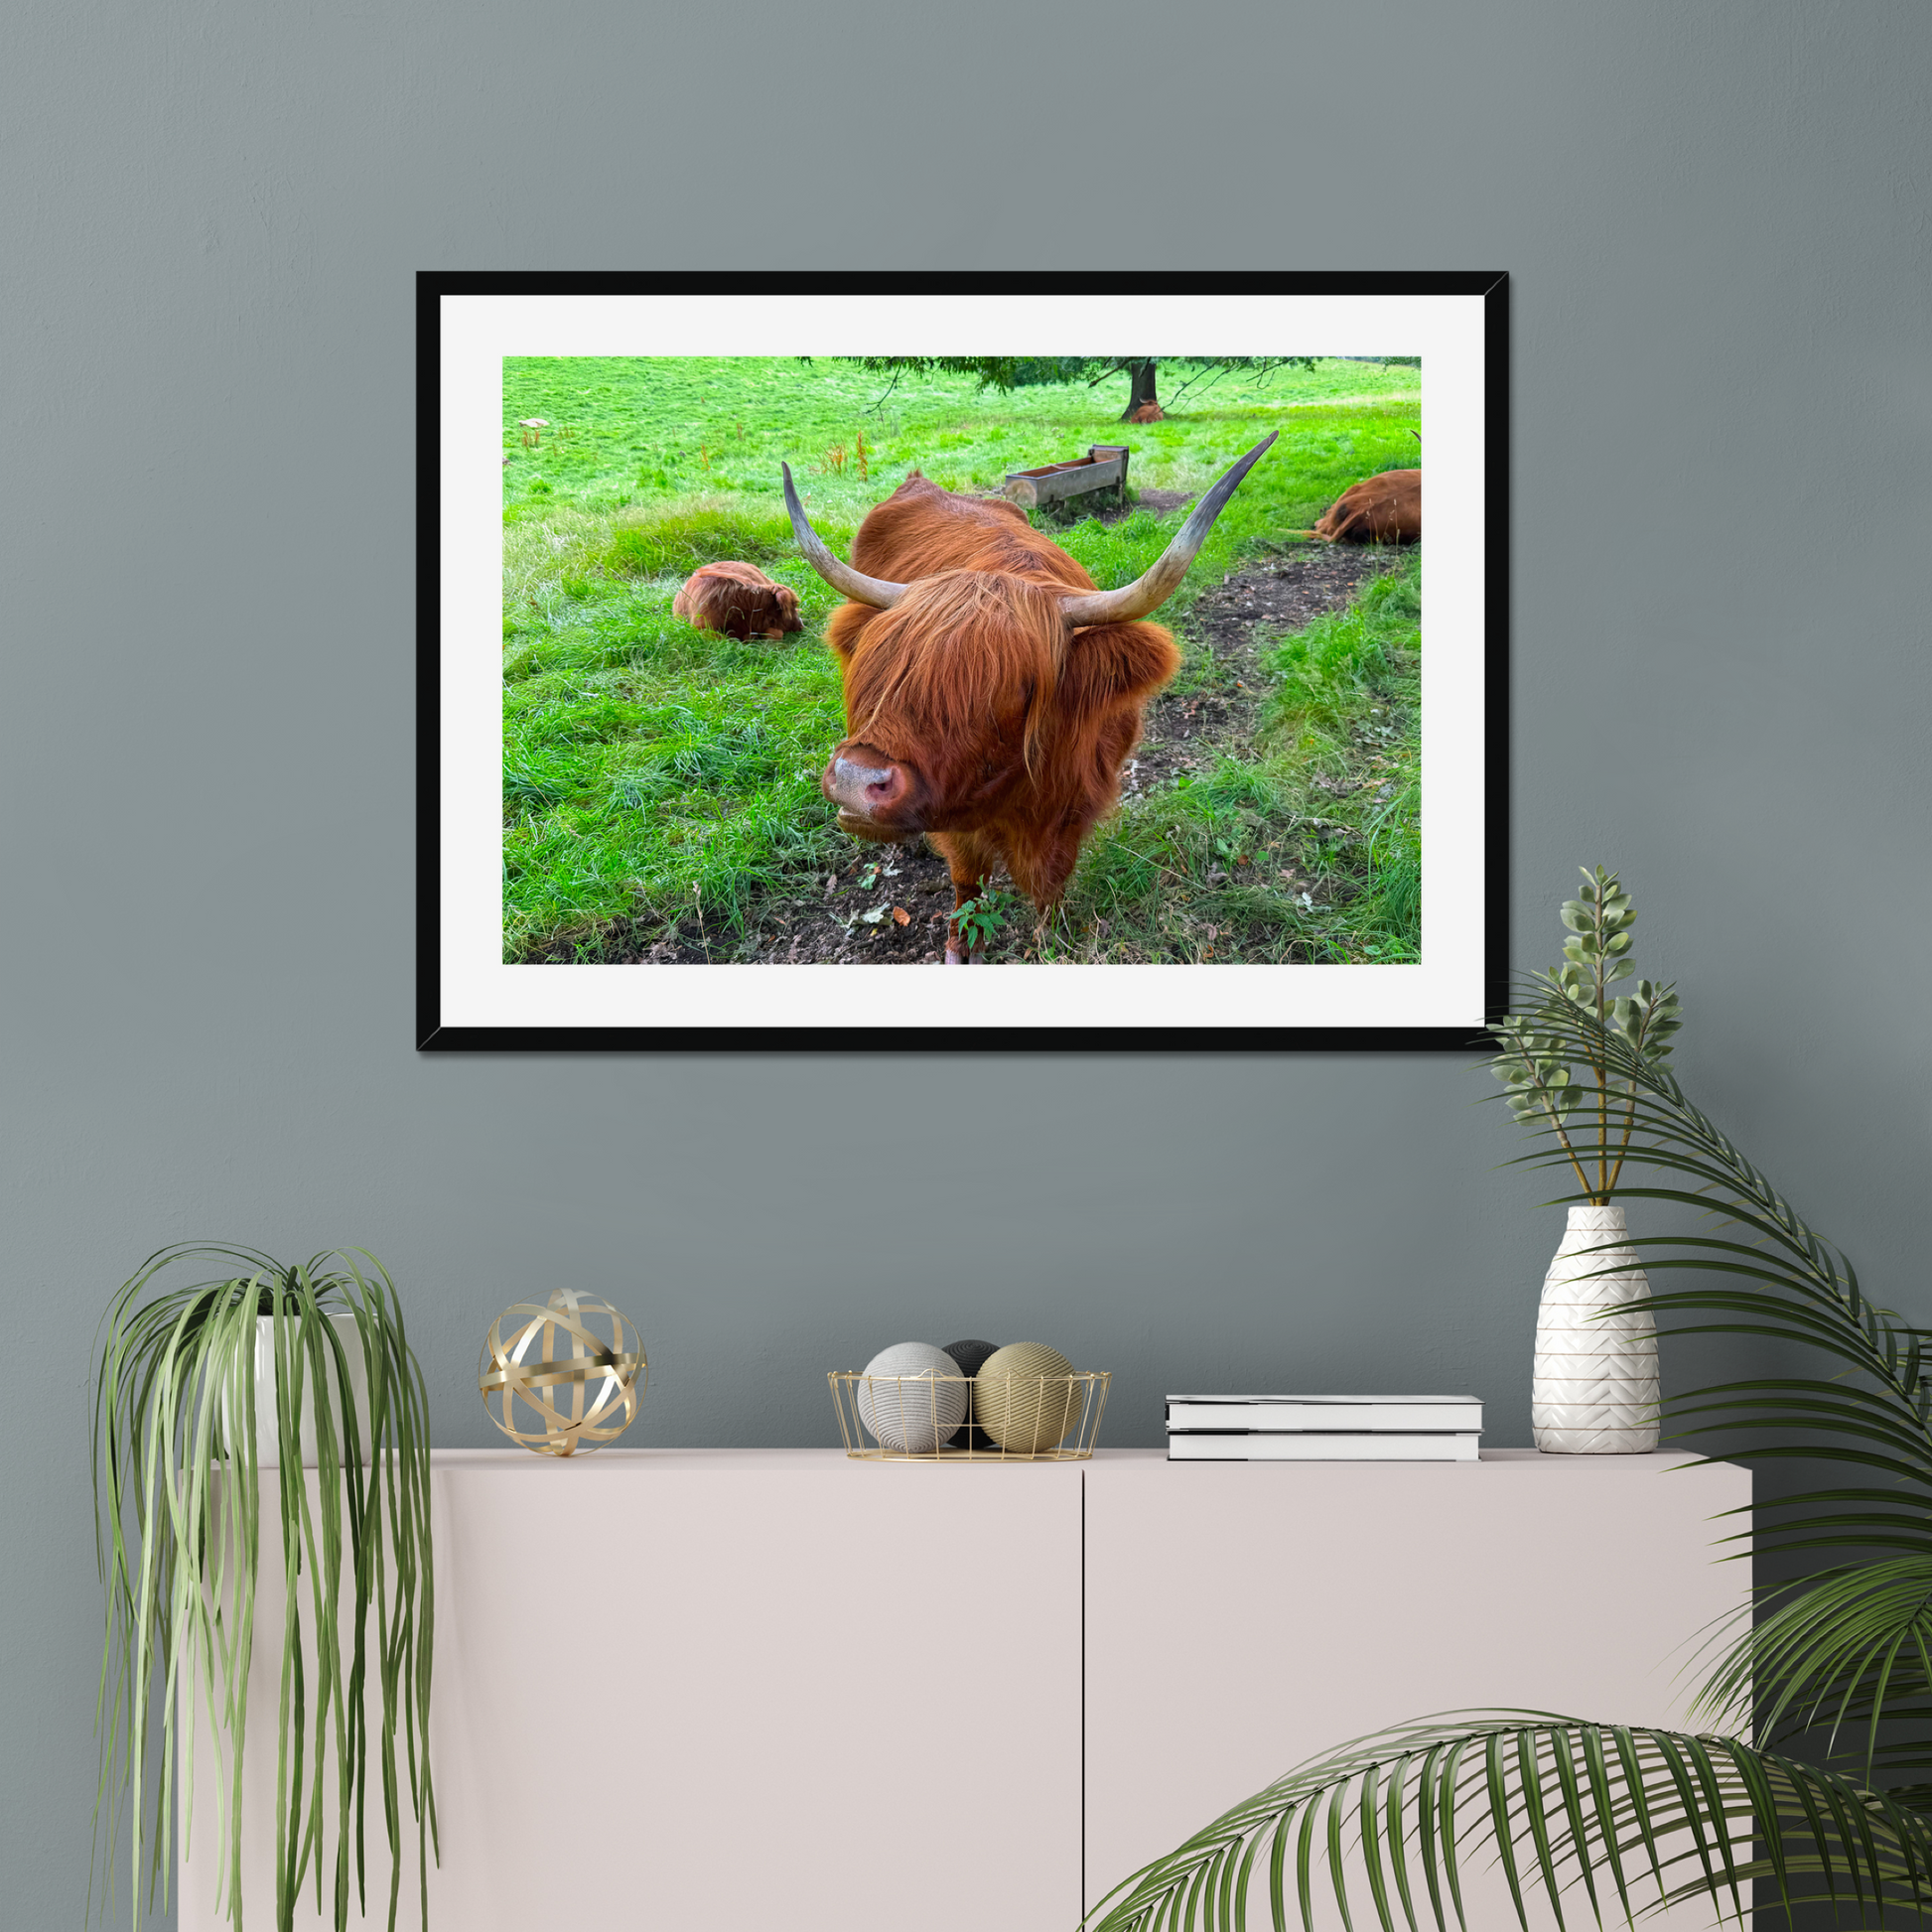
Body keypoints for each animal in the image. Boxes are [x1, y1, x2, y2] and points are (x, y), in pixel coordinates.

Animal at [782, 433, 1277, 964]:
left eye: (1014, 687)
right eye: (885, 664)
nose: (856, 780)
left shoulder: (1076, 805)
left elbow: (1051, 881)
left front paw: (1051, 937)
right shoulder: (958, 818)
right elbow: (967, 880)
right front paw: (961, 945)